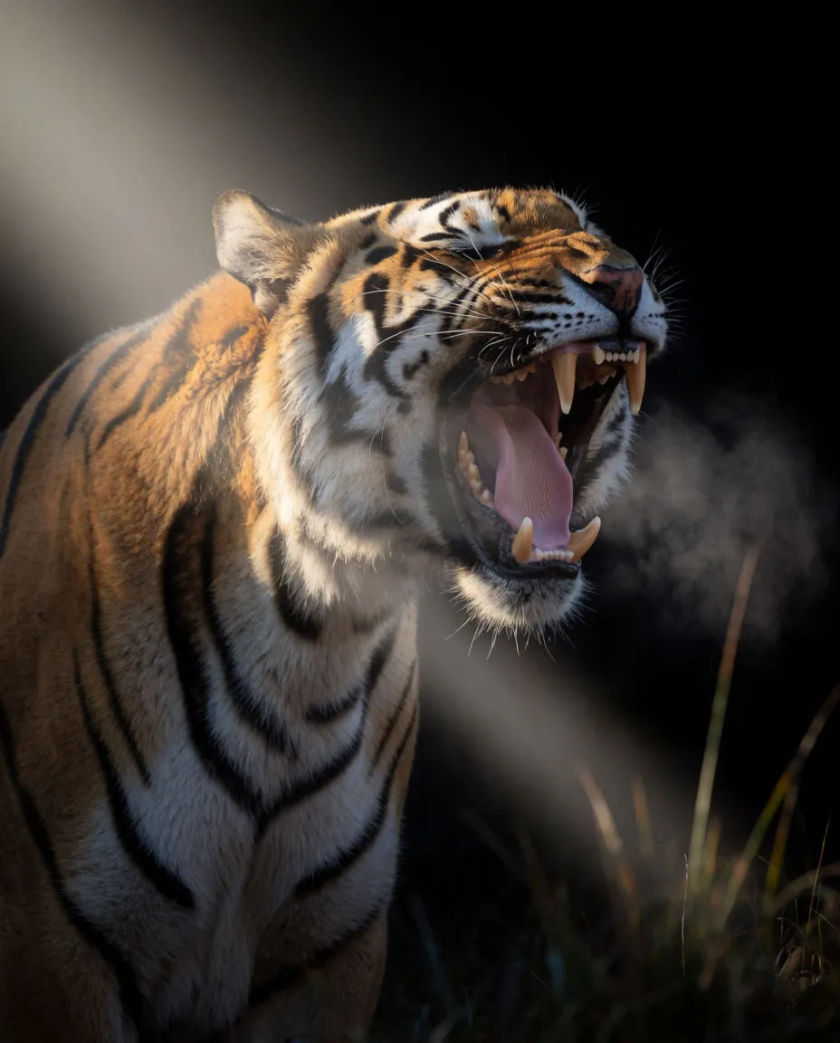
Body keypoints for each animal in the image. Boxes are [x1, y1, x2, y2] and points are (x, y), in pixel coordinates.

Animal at [0, 186, 667, 1041]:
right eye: (468, 248)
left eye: (593, 232)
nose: (624, 280)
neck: (315, 630)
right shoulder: (57, 947)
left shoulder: (331, 955)